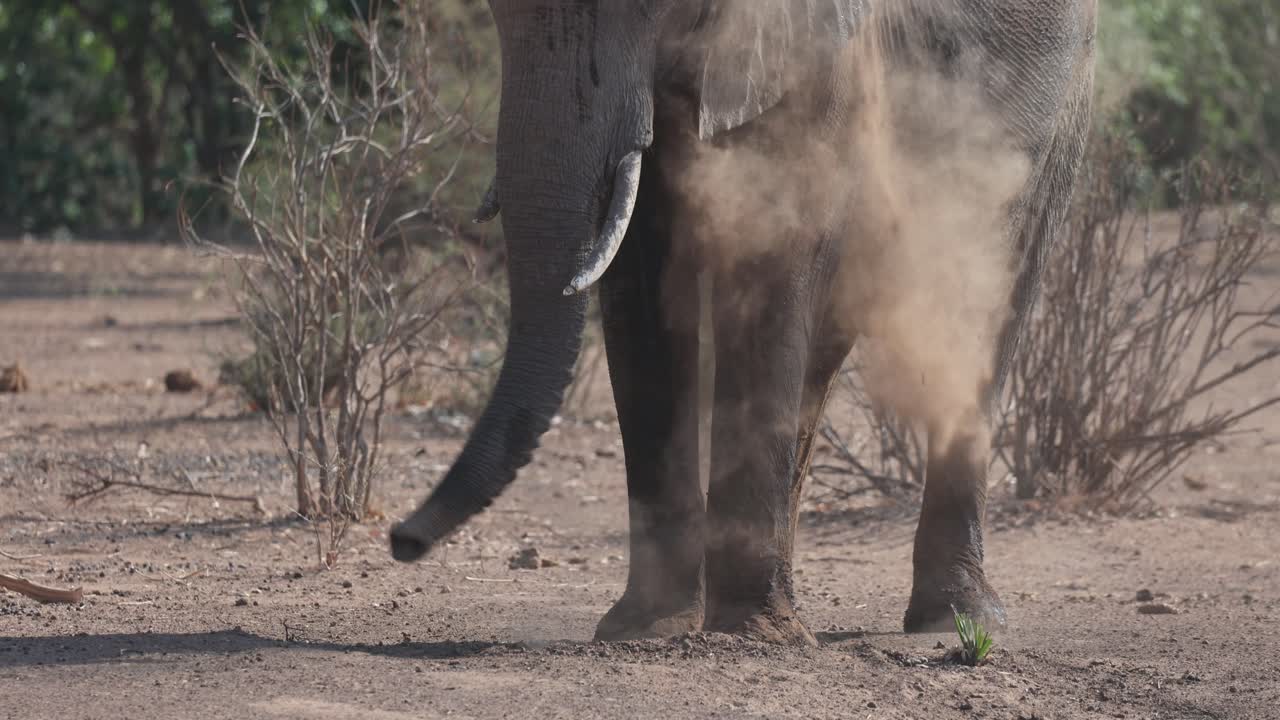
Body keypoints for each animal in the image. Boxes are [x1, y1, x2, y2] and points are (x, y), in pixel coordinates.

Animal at [390, 0, 1097, 645]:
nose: (402, 540)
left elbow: (776, 247)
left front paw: (751, 636)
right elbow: (642, 275)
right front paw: (645, 629)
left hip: (1057, 110)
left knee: (985, 300)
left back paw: (955, 620)